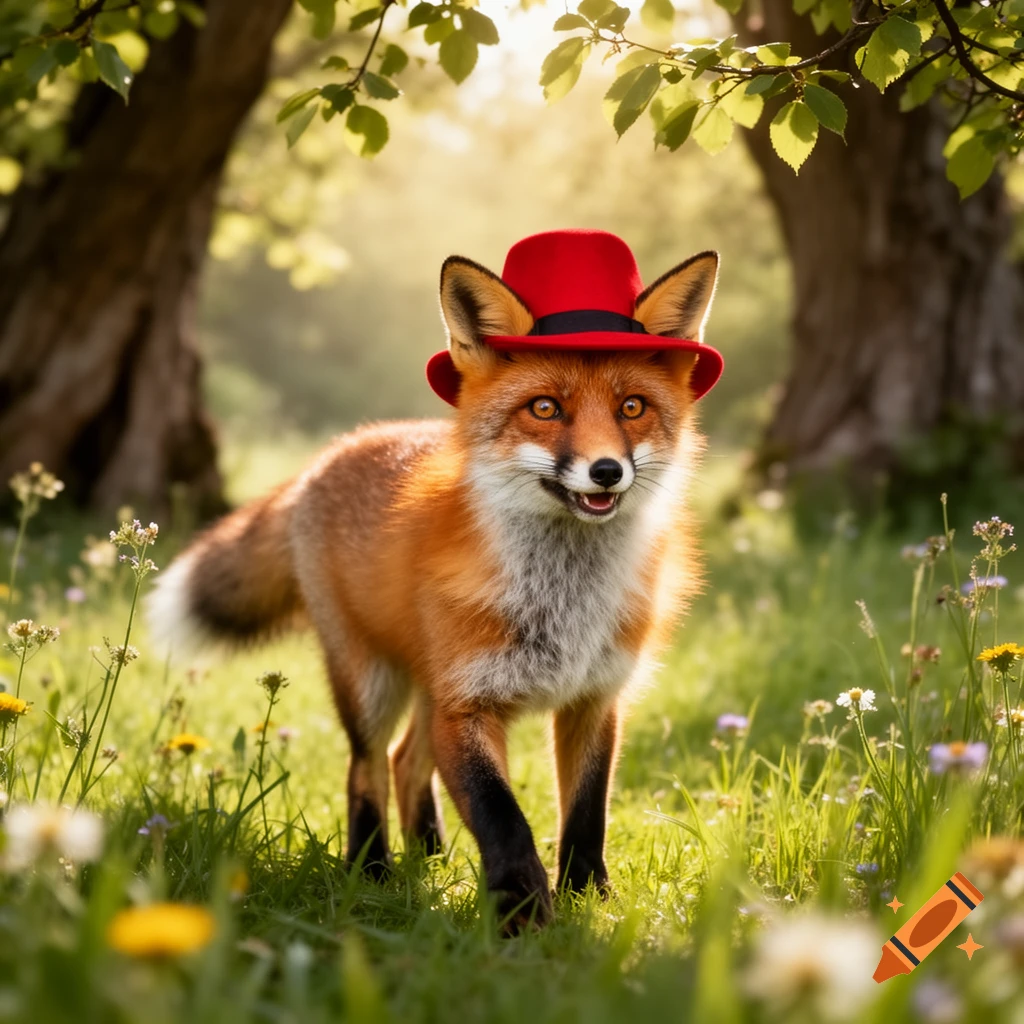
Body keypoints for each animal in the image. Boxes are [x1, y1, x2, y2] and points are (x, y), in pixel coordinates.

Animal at [149, 233, 720, 929]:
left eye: (632, 408)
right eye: (545, 408)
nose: (606, 470)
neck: (562, 602)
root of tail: (334, 452)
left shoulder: (595, 699)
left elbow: (587, 816)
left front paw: (590, 901)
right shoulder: (465, 705)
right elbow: (503, 818)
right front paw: (522, 917)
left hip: (424, 683)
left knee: (405, 763)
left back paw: (432, 859)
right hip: (369, 682)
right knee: (367, 768)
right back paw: (374, 872)